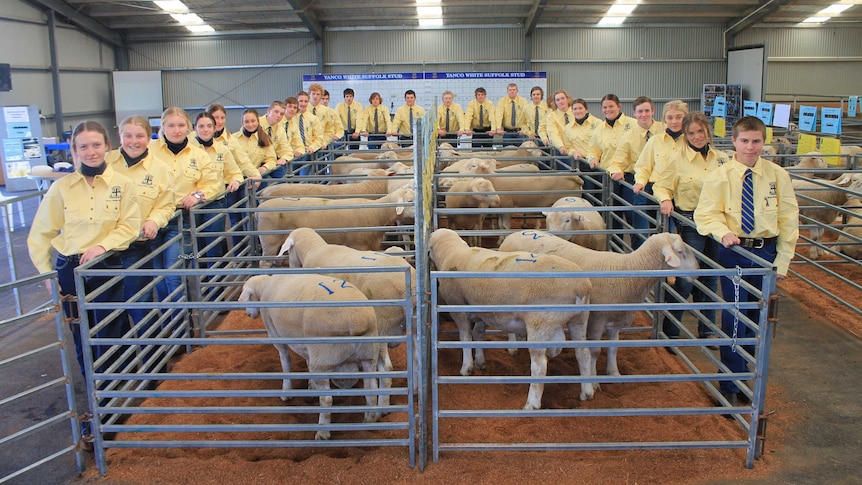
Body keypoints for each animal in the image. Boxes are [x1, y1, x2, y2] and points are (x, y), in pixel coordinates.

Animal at [235, 272, 386, 438]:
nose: (248, 314)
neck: (264, 287)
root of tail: (356, 321)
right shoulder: (307, 346)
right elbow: (306, 362)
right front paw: (310, 386)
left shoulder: (275, 334)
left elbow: (285, 362)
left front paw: (286, 391)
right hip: (369, 354)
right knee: (371, 390)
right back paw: (369, 421)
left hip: (323, 358)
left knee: (327, 400)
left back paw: (322, 433)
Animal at [256, 186, 416, 264]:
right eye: (409, 201)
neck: (377, 212)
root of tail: (258, 210)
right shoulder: (358, 245)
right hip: (269, 241)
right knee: (264, 263)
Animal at [426, 228, 592, 408]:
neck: (452, 252)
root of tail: (581, 286)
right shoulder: (481, 309)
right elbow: (478, 334)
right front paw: (480, 361)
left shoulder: (458, 308)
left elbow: (465, 338)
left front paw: (467, 368)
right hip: (580, 319)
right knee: (583, 352)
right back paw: (587, 391)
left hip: (540, 322)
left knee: (540, 366)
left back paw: (531, 404)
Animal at [500, 230, 704, 386]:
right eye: (680, 251)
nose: (698, 271)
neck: (629, 272)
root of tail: (512, 235)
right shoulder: (597, 319)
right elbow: (595, 351)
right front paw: (595, 381)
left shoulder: (615, 321)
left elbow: (613, 348)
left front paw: (614, 374)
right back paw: (512, 346)